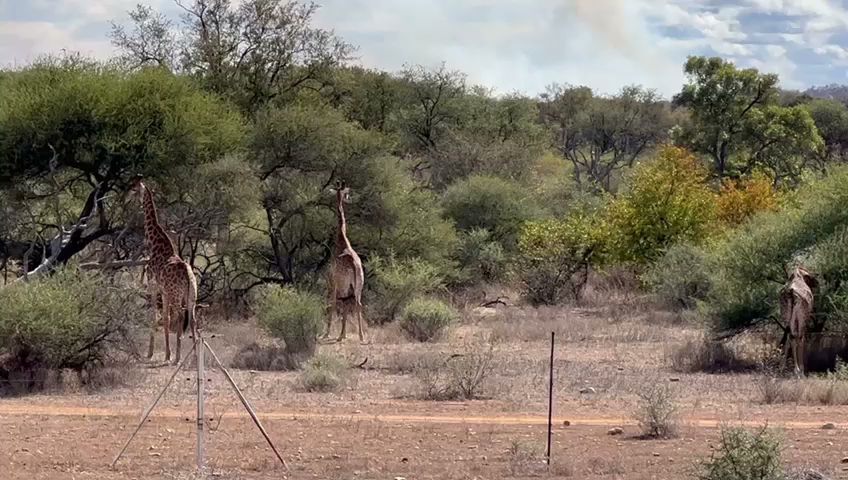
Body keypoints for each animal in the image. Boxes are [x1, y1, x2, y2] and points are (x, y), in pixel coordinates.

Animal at [128, 176, 198, 364]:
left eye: (133, 188)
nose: (125, 198)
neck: (155, 244)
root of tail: (188, 275)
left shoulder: (154, 287)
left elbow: (154, 316)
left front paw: (151, 353)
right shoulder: (164, 292)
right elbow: (165, 319)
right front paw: (167, 354)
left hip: (176, 295)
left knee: (180, 316)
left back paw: (179, 358)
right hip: (191, 295)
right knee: (193, 320)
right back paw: (194, 358)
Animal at [322, 179, 364, 342]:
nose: (347, 199)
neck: (342, 239)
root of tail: (354, 265)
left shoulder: (334, 280)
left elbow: (333, 303)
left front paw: (328, 333)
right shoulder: (347, 286)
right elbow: (345, 305)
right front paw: (343, 334)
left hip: (343, 284)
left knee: (338, 303)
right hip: (359, 285)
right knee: (358, 304)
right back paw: (361, 336)